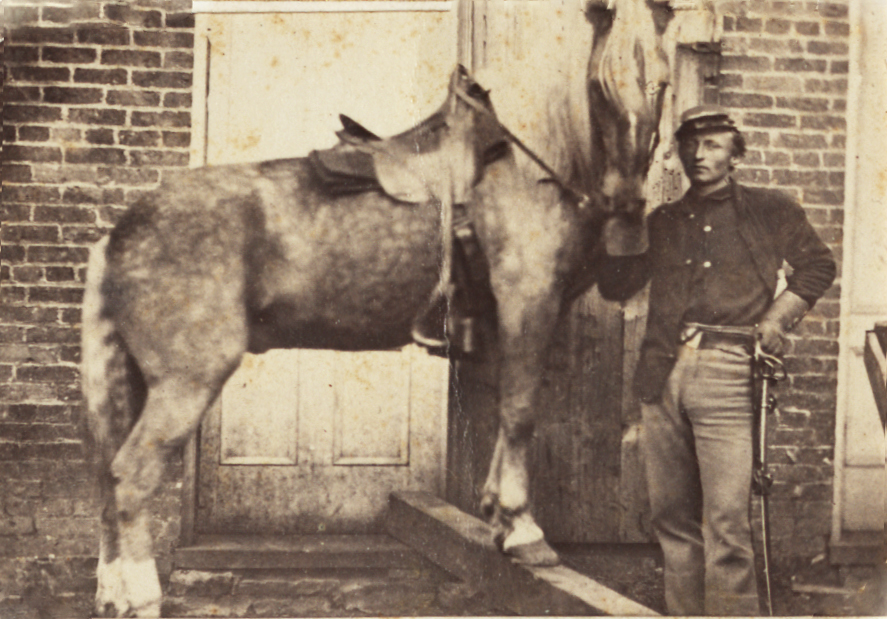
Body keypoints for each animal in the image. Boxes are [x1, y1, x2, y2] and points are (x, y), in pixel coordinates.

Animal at [83, 1, 672, 616]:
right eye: (599, 86)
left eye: (662, 81)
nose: (626, 200)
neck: (514, 163)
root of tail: (120, 233)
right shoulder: (528, 302)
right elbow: (519, 412)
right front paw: (524, 532)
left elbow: (498, 413)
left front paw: (499, 521)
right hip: (187, 381)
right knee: (130, 476)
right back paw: (142, 595)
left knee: (107, 476)